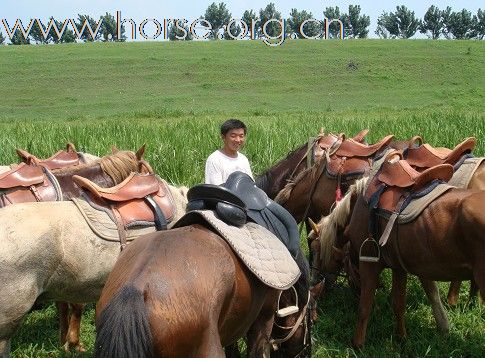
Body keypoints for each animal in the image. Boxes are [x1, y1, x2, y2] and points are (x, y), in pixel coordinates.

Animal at [308, 178, 484, 348]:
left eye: (316, 248)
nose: (314, 280)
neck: (357, 209)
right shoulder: (398, 267)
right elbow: (399, 304)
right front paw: (402, 338)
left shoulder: (369, 264)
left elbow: (365, 307)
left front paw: (357, 344)